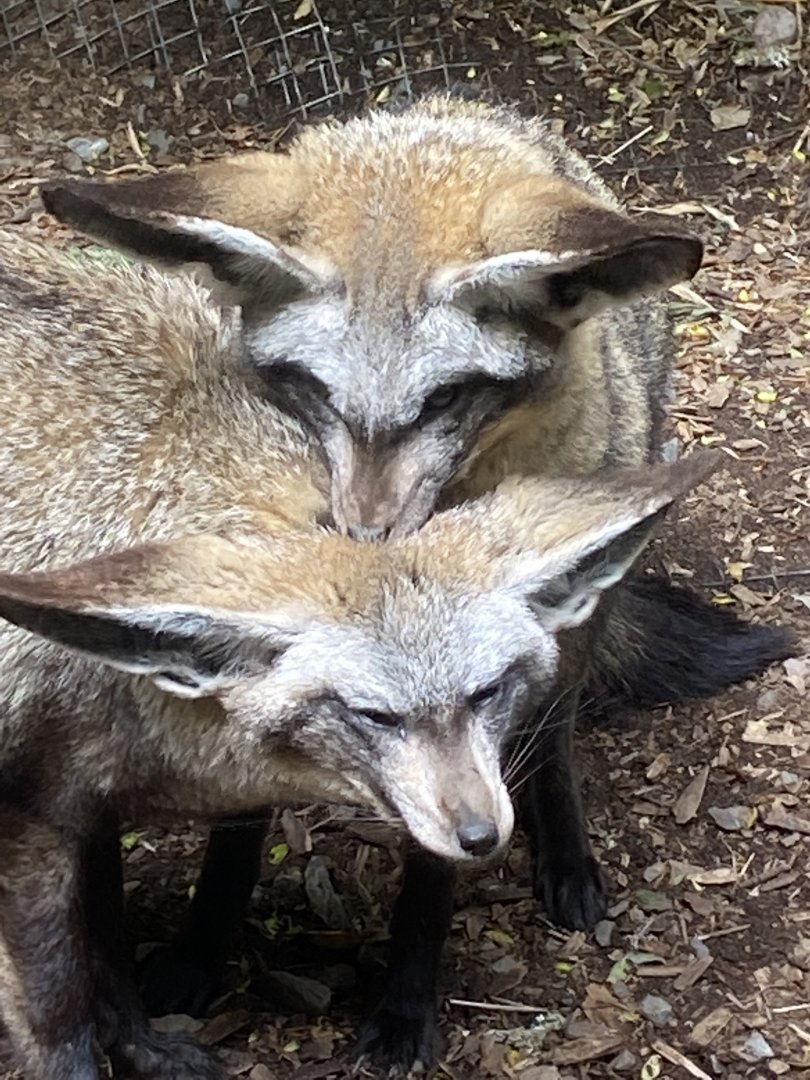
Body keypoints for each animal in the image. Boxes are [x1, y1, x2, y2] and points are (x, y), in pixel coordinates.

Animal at [0, 227, 714, 1078]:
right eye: (374, 717)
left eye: (485, 693)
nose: (482, 836)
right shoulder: (40, 814)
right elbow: (68, 1005)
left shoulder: (73, 802)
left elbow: (107, 960)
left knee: (558, 729)